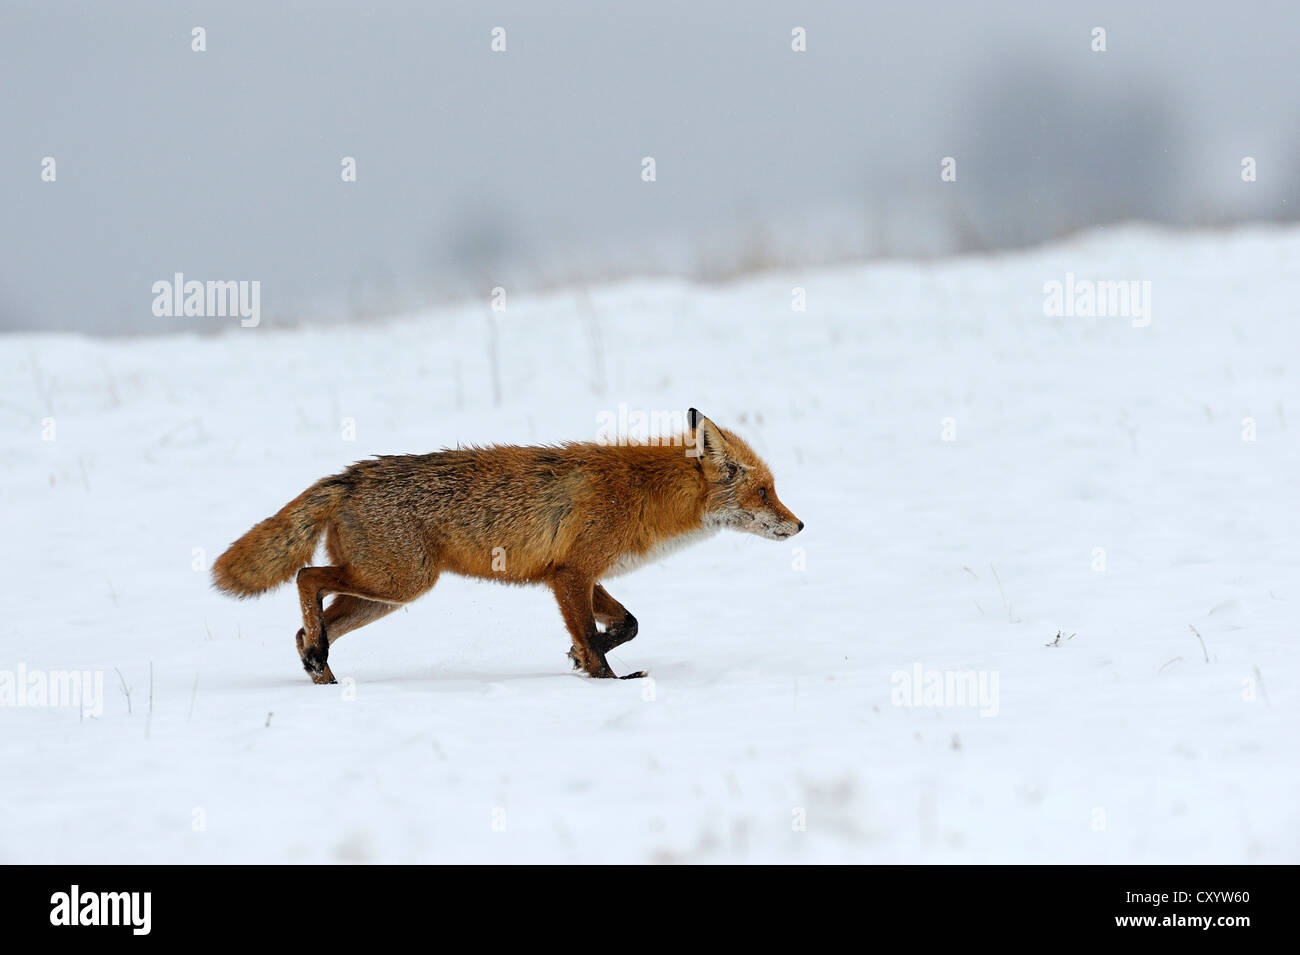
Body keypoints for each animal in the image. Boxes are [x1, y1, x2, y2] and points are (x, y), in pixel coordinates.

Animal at [211, 408, 803, 684]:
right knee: (304, 576)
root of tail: (349, 476)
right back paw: (320, 660)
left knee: (305, 624)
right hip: (400, 583)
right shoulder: (569, 575)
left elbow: (625, 625)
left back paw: (320, 667)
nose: (799, 526)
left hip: (382, 597)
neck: (644, 493)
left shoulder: (574, 574)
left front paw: (581, 660)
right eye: (765, 492)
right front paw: (607, 681)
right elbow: (595, 639)